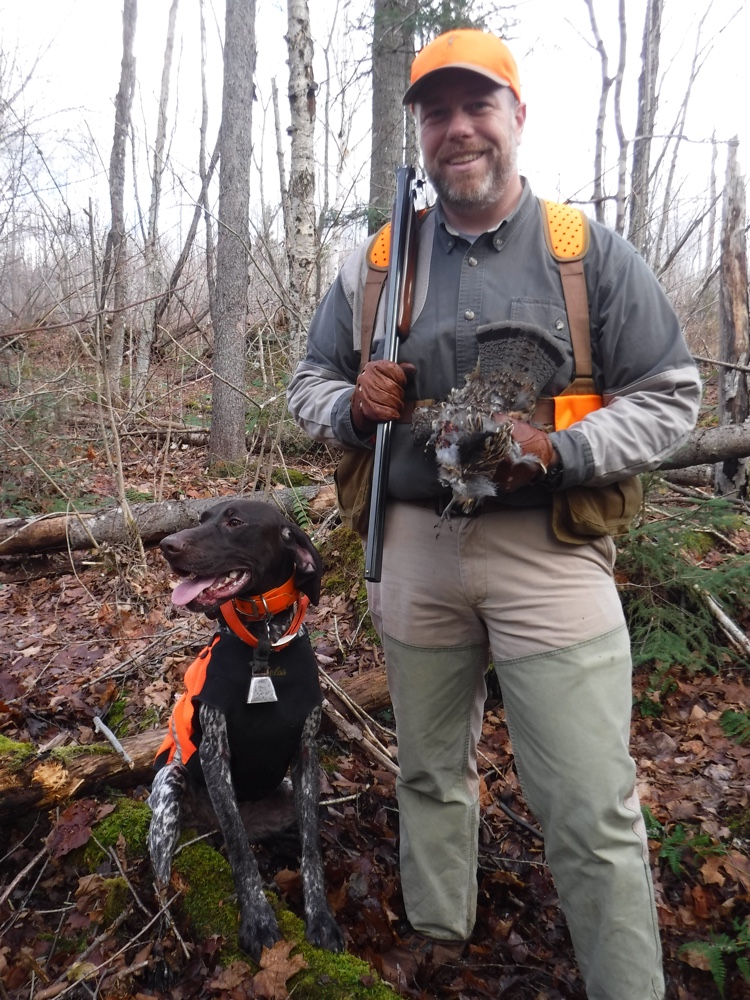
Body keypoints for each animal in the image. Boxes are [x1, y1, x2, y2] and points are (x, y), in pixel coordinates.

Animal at [148, 500, 346, 960]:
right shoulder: (214, 753)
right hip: (169, 786)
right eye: (201, 519)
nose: (167, 546)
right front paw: (257, 919)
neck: (264, 646)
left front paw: (322, 919)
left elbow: (312, 848)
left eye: (234, 522)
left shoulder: (307, 756)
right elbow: (239, 848)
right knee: (163, 880)